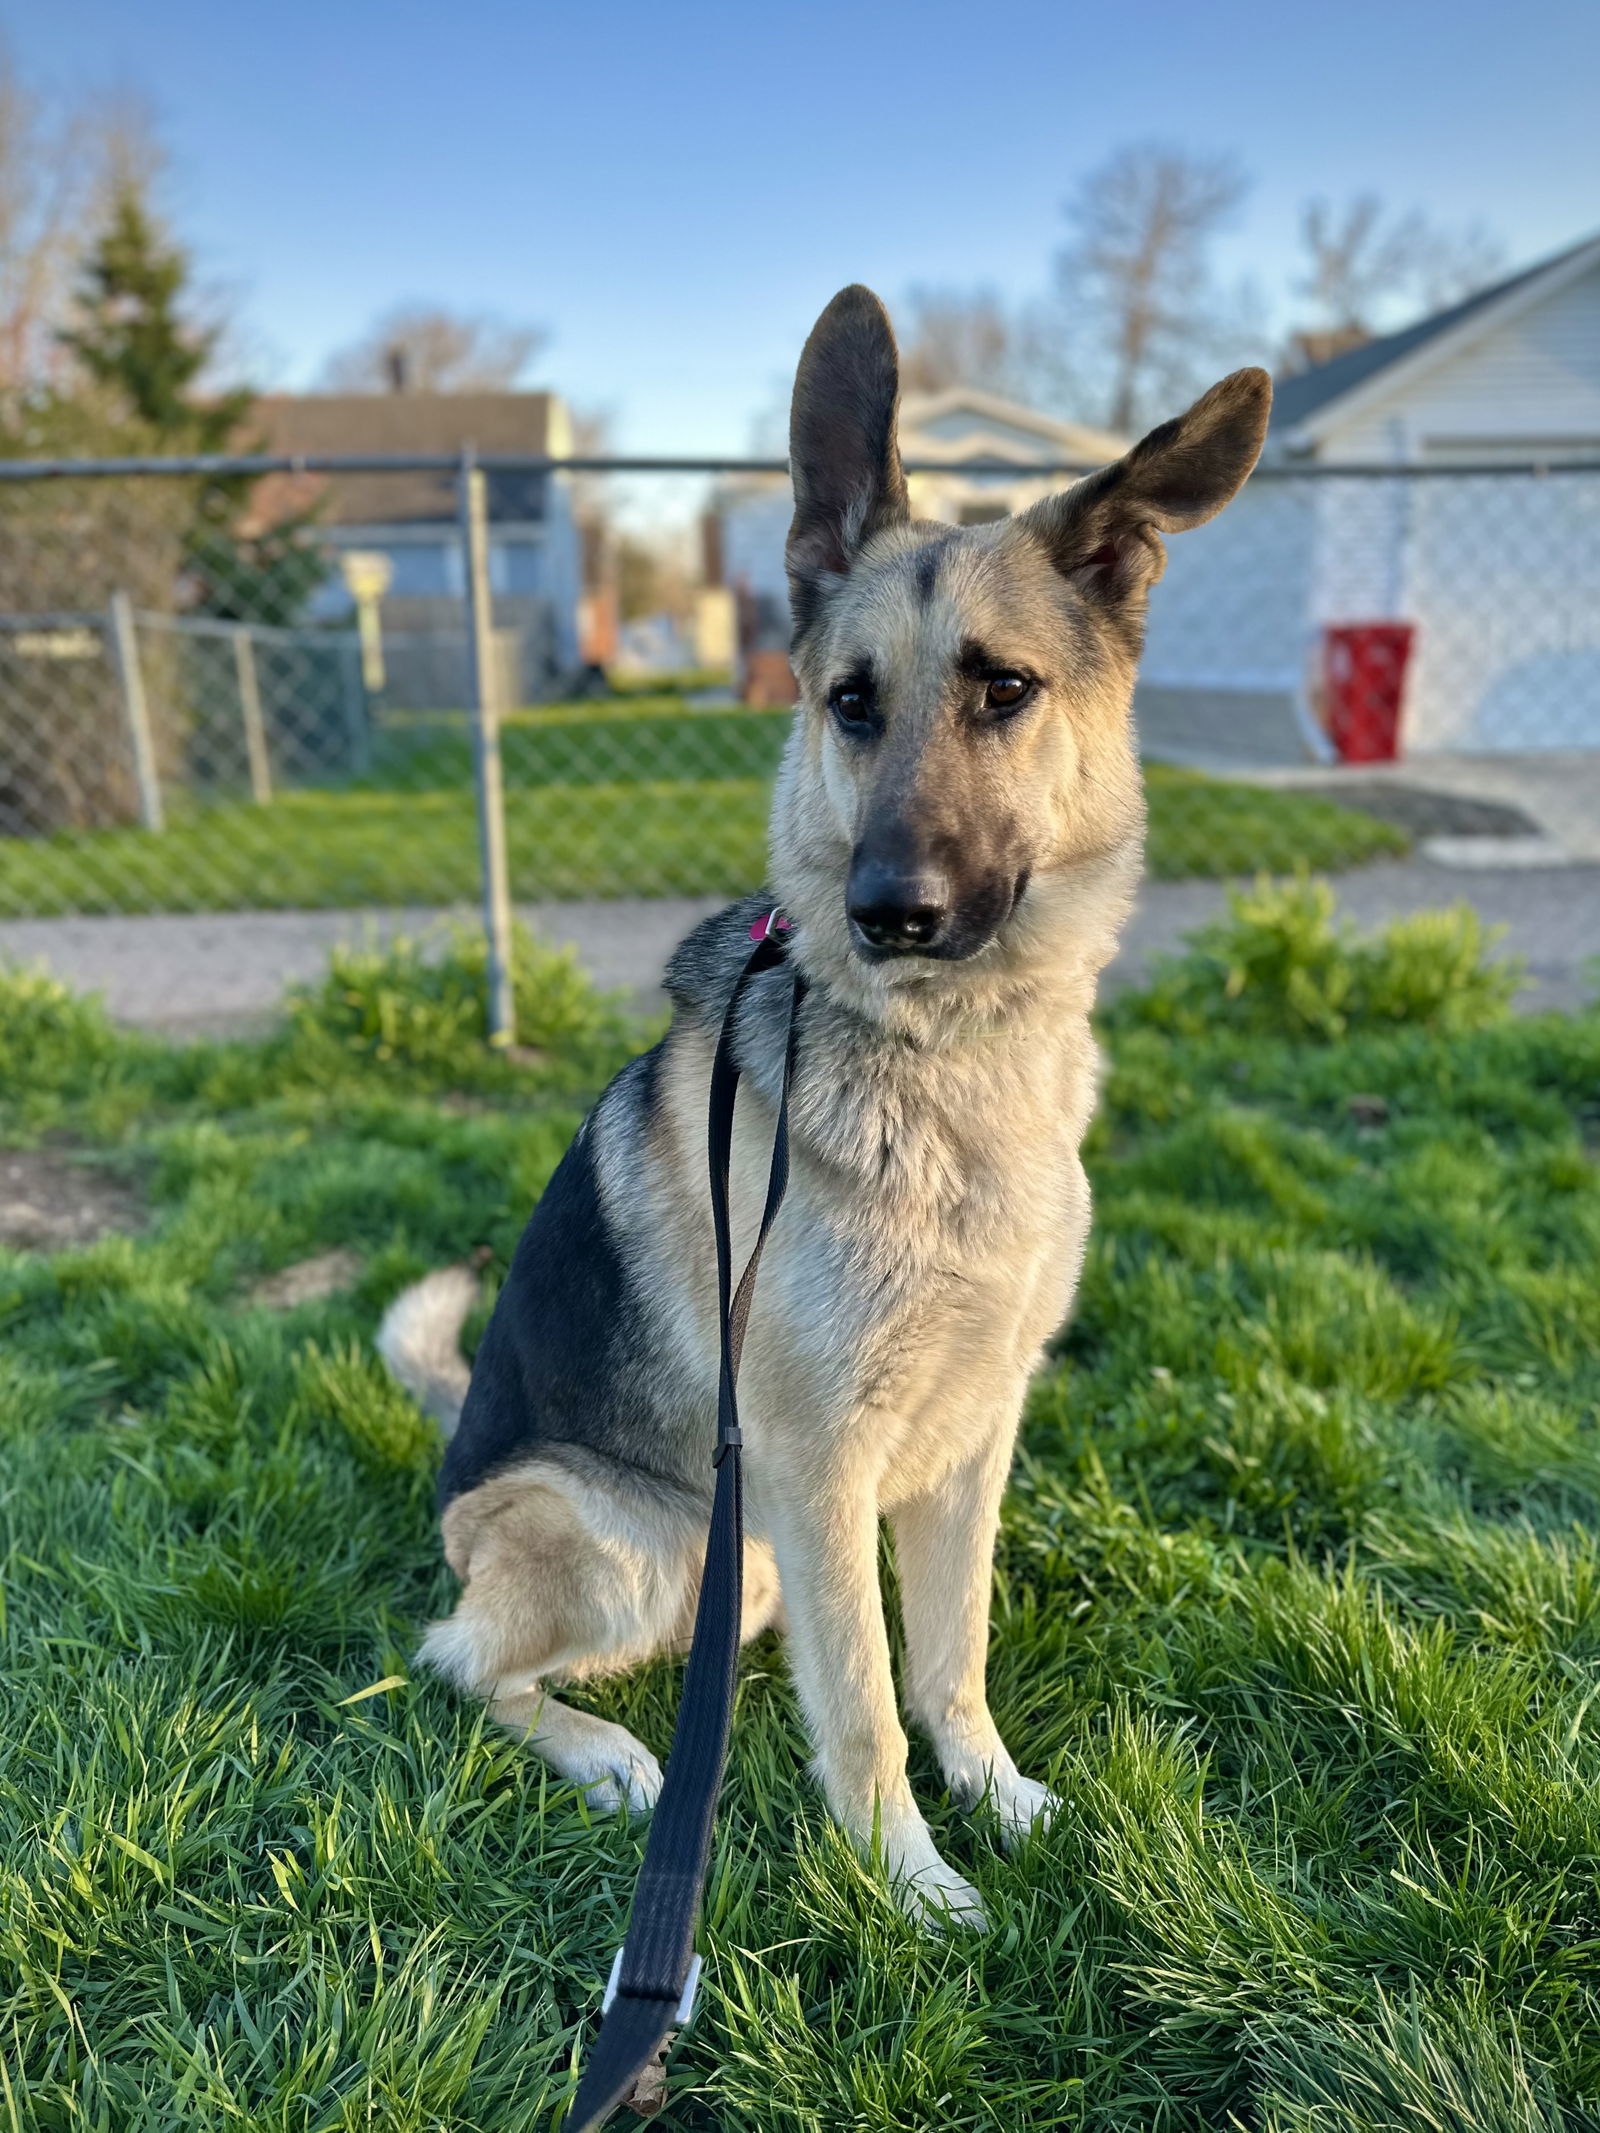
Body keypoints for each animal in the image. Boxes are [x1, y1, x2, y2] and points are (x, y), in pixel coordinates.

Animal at [381, 296, 1271, 1936]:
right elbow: (861, 1704)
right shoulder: (813, 1468)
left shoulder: (976, 1442)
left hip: (734, 1556)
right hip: (651, 1543)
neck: (951, 1063)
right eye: (852, 703)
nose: (886, 911)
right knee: (462, 1659)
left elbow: (949, 1655)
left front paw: (995, 1795)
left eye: (1004, 690)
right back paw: (610, 1751)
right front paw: (908, 1878)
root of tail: (456, 1485)